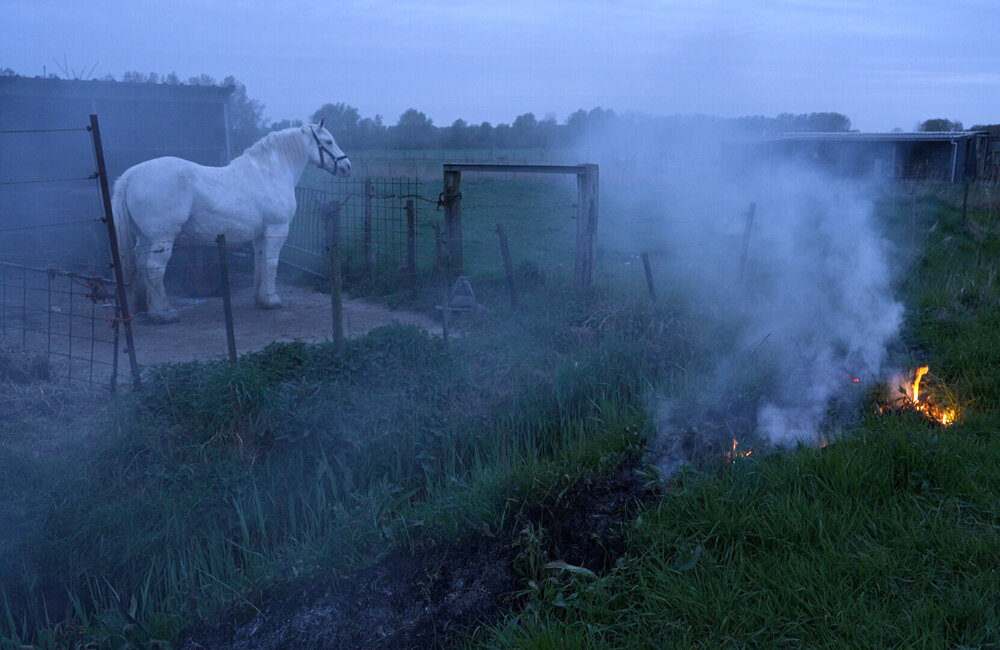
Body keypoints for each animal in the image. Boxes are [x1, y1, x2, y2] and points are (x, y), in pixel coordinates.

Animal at [111, 119, 350, 324]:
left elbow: (260, 261)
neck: (269, 173)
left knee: (142, 267)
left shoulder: (260, 234)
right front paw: (272, 300)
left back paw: (145, 309)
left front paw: (261, 298)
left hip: (145, 238)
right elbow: (272, 262)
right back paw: (164, 313)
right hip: (163, 238)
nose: (346, 166)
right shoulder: (277, 229)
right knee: (154, 269)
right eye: (329, 141)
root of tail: (130, 176)